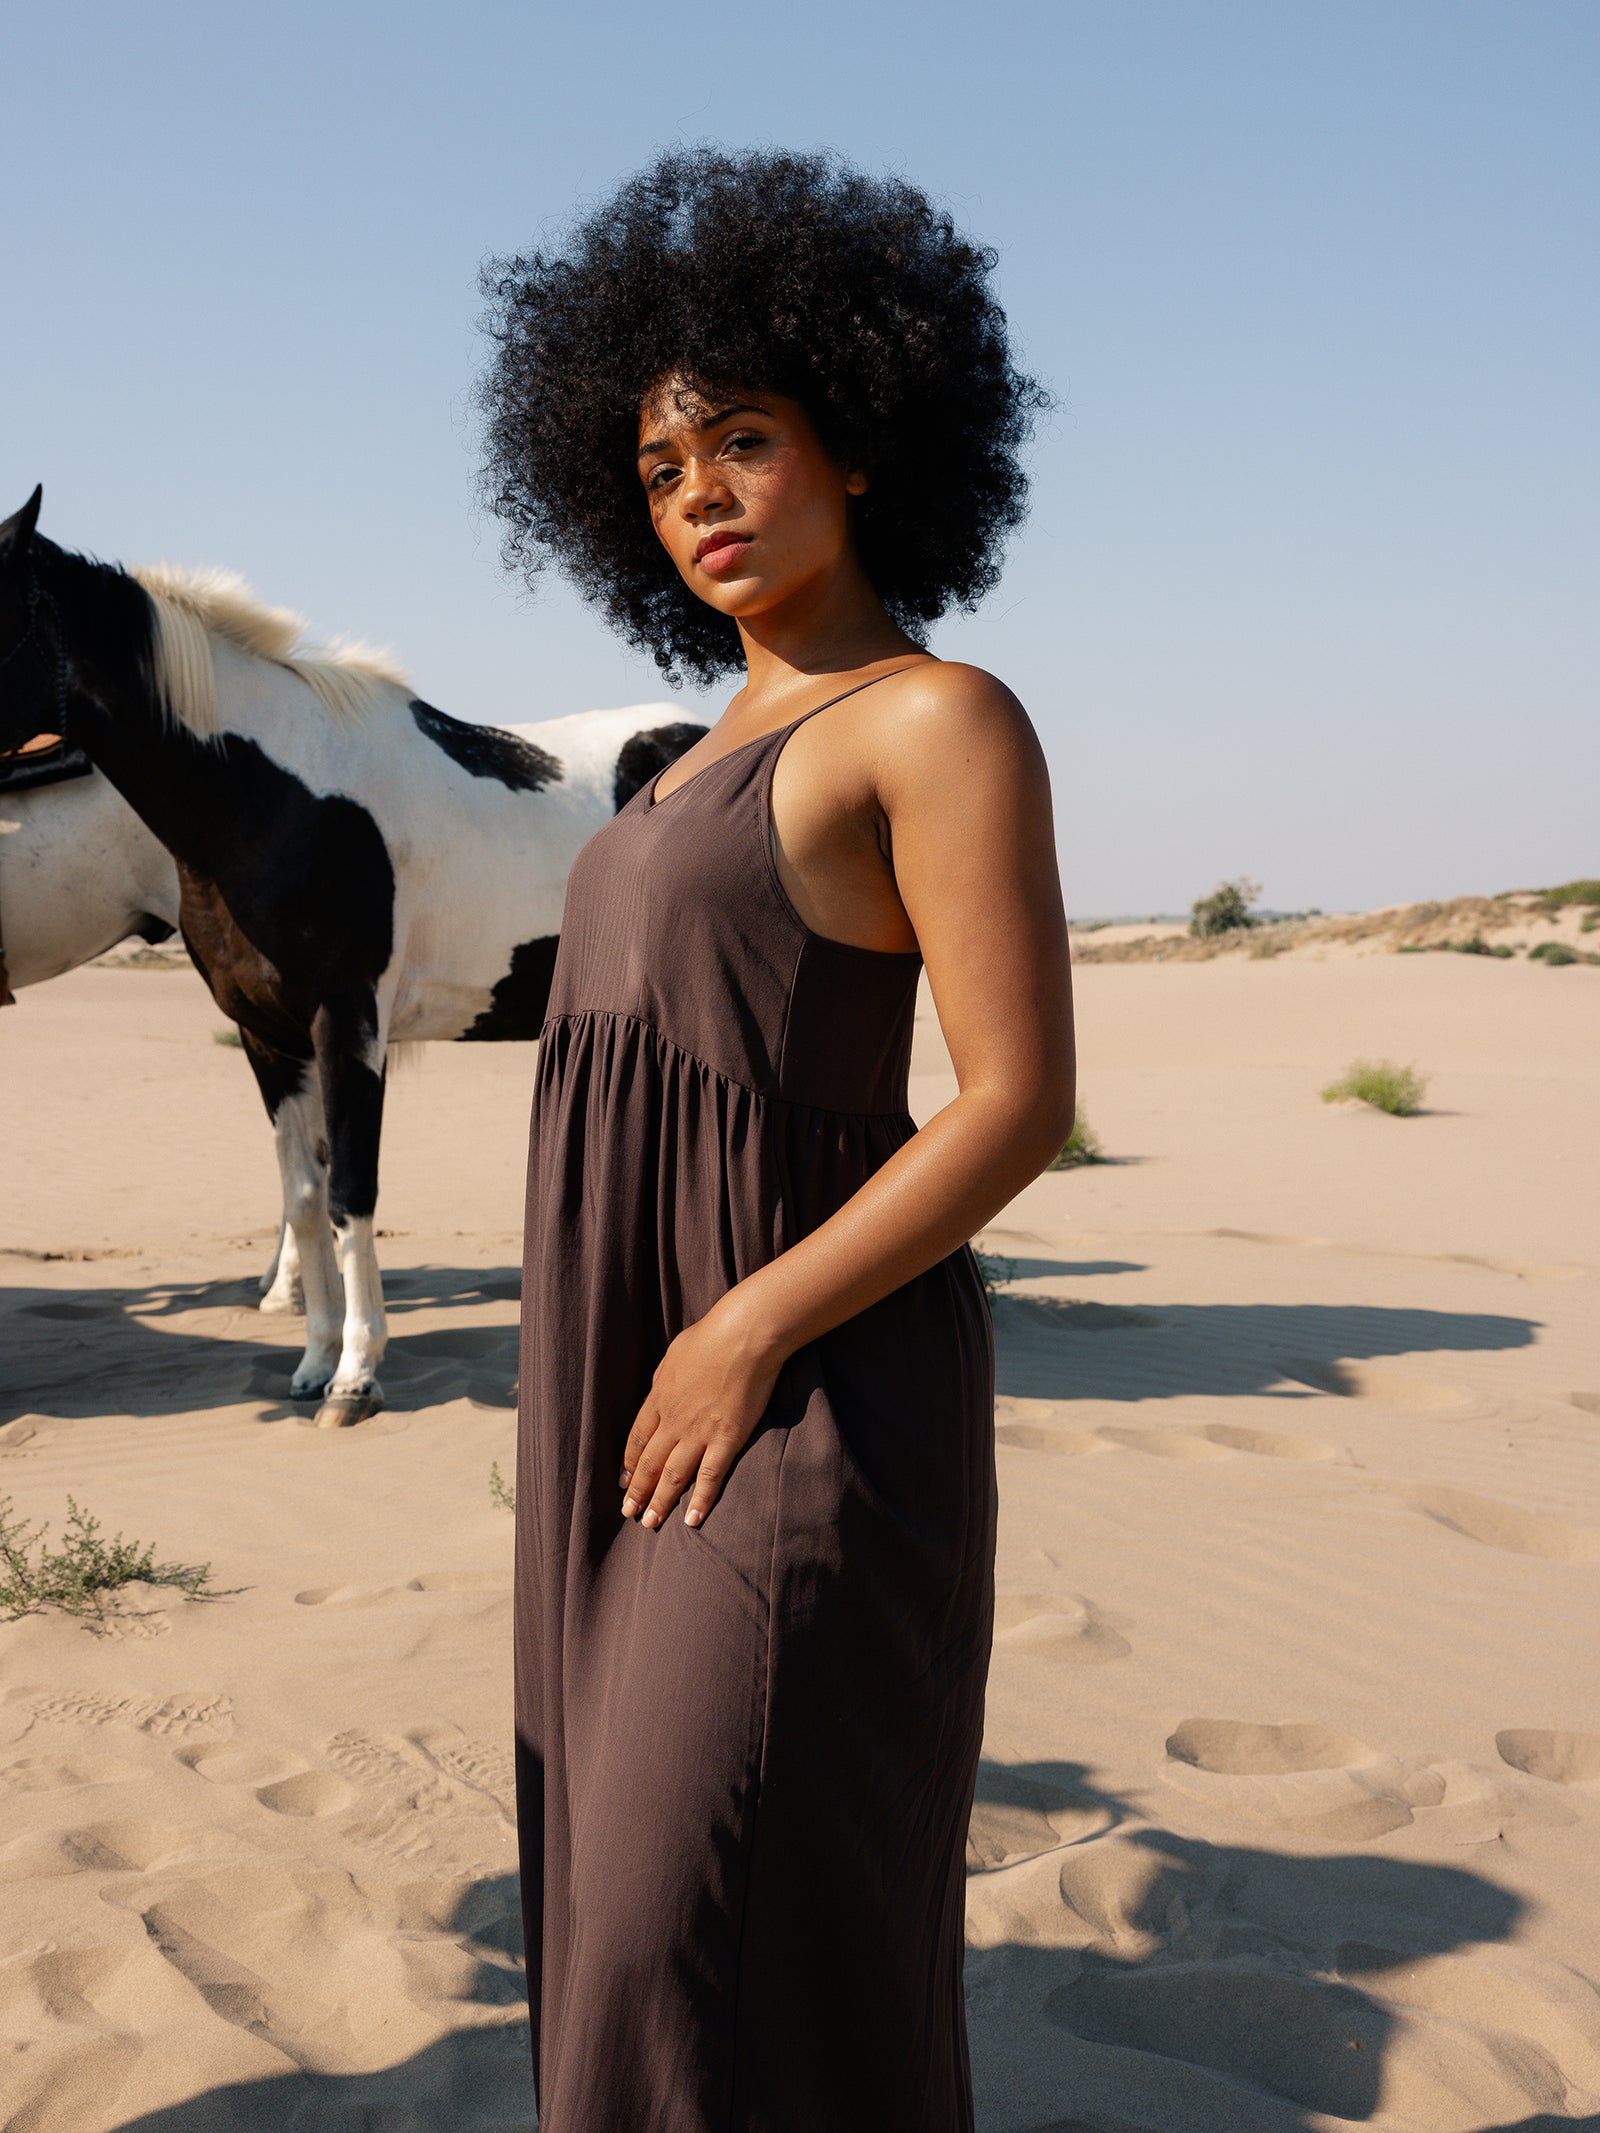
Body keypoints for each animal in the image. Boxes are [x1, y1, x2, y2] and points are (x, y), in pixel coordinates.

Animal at [0, 492, 699, 1424]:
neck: (279, 799)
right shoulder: (266, 1036)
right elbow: (302, 1199)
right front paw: (312, 1359)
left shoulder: (348, 1020)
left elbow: (350, 1191)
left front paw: (357, 1374)